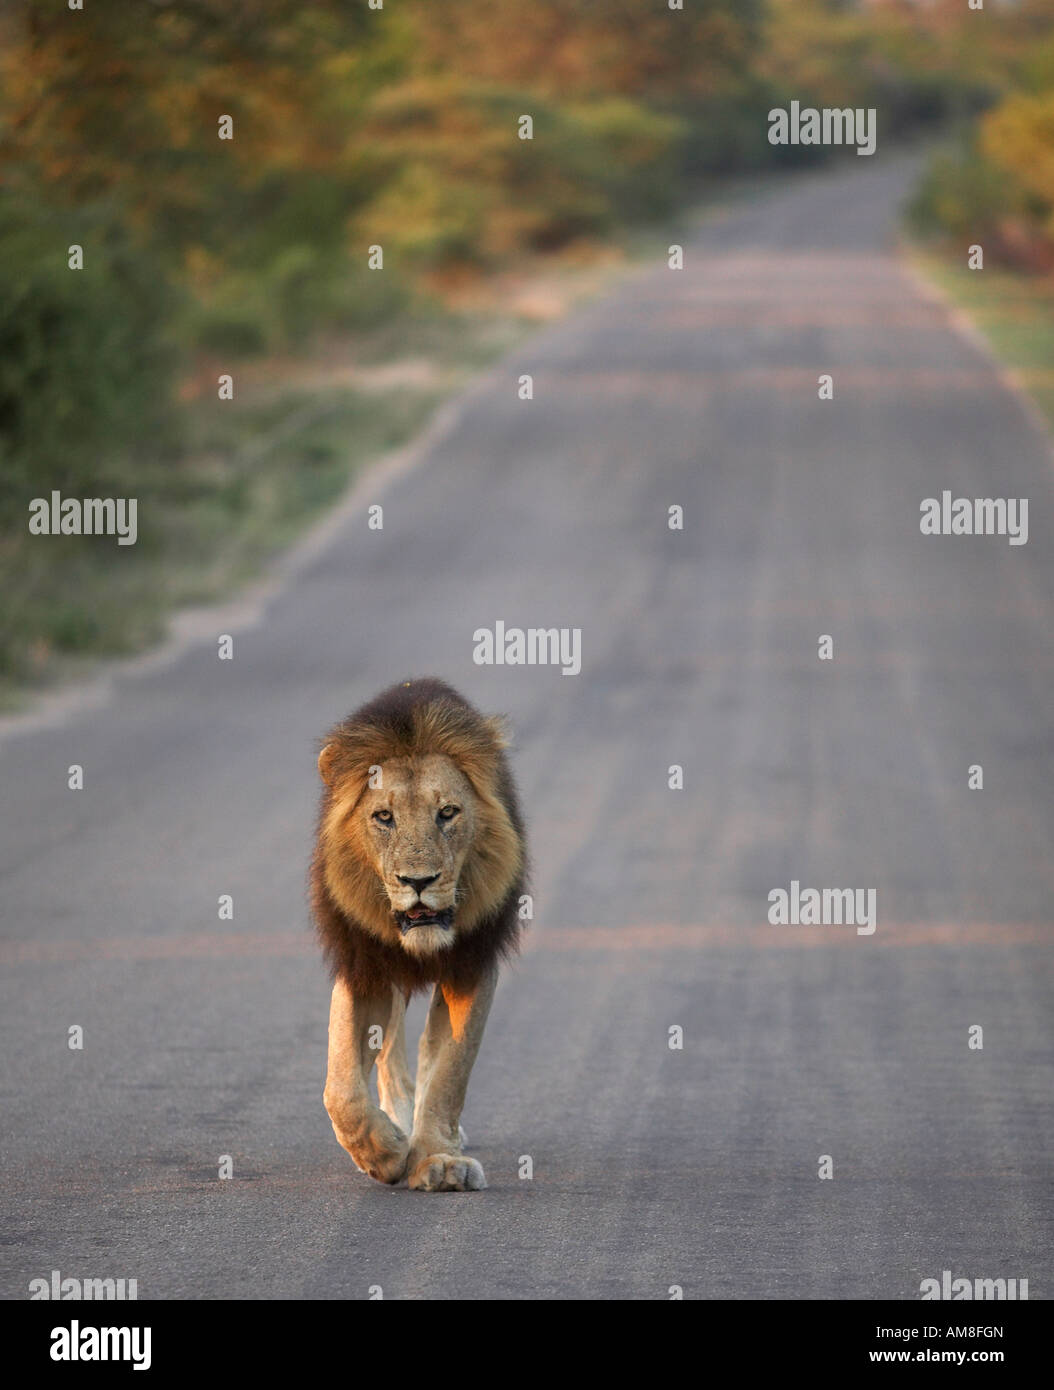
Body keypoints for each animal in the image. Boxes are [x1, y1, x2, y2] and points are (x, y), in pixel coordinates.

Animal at [311, 677, 527, 1192]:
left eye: (447, 812)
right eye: (383, 817)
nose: (418, 881)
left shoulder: (471, 964)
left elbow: (450, 1069)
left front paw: (438, 1160)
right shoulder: (363, 965)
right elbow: (341, 1090)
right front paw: (385, 1152)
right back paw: (398, 1120)